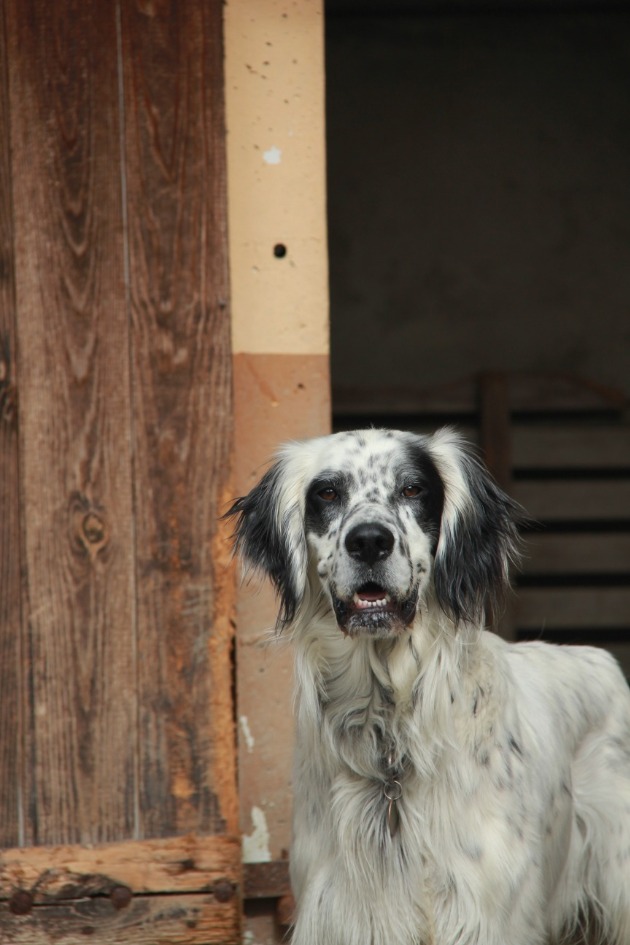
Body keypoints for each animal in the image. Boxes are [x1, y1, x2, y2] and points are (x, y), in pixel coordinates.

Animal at [230, 428, 630, 944]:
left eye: (413, 489)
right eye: (328, 493)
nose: (369, 541)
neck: (391, 738)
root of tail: (600, 657)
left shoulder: (483, 918)